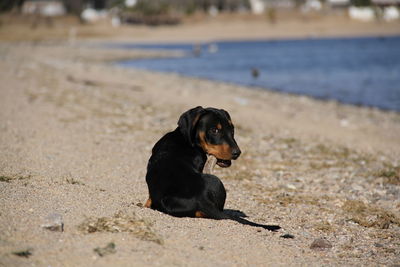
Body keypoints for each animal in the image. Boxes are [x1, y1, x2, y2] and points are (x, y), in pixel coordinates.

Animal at [145, 105, 280, 231]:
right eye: (215, 130)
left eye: (232, 130)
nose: (237, 153)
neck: (183, 138)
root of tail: (201, 199)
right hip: (217, 181)